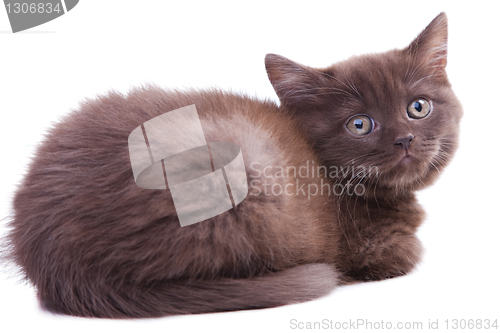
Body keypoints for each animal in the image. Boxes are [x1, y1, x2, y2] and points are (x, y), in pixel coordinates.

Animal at [0, 11, 460, 316]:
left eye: (418, 107)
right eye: (360, 124)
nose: (405, 139)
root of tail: (58, 266)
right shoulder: (373, 245)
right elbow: (407, 253)